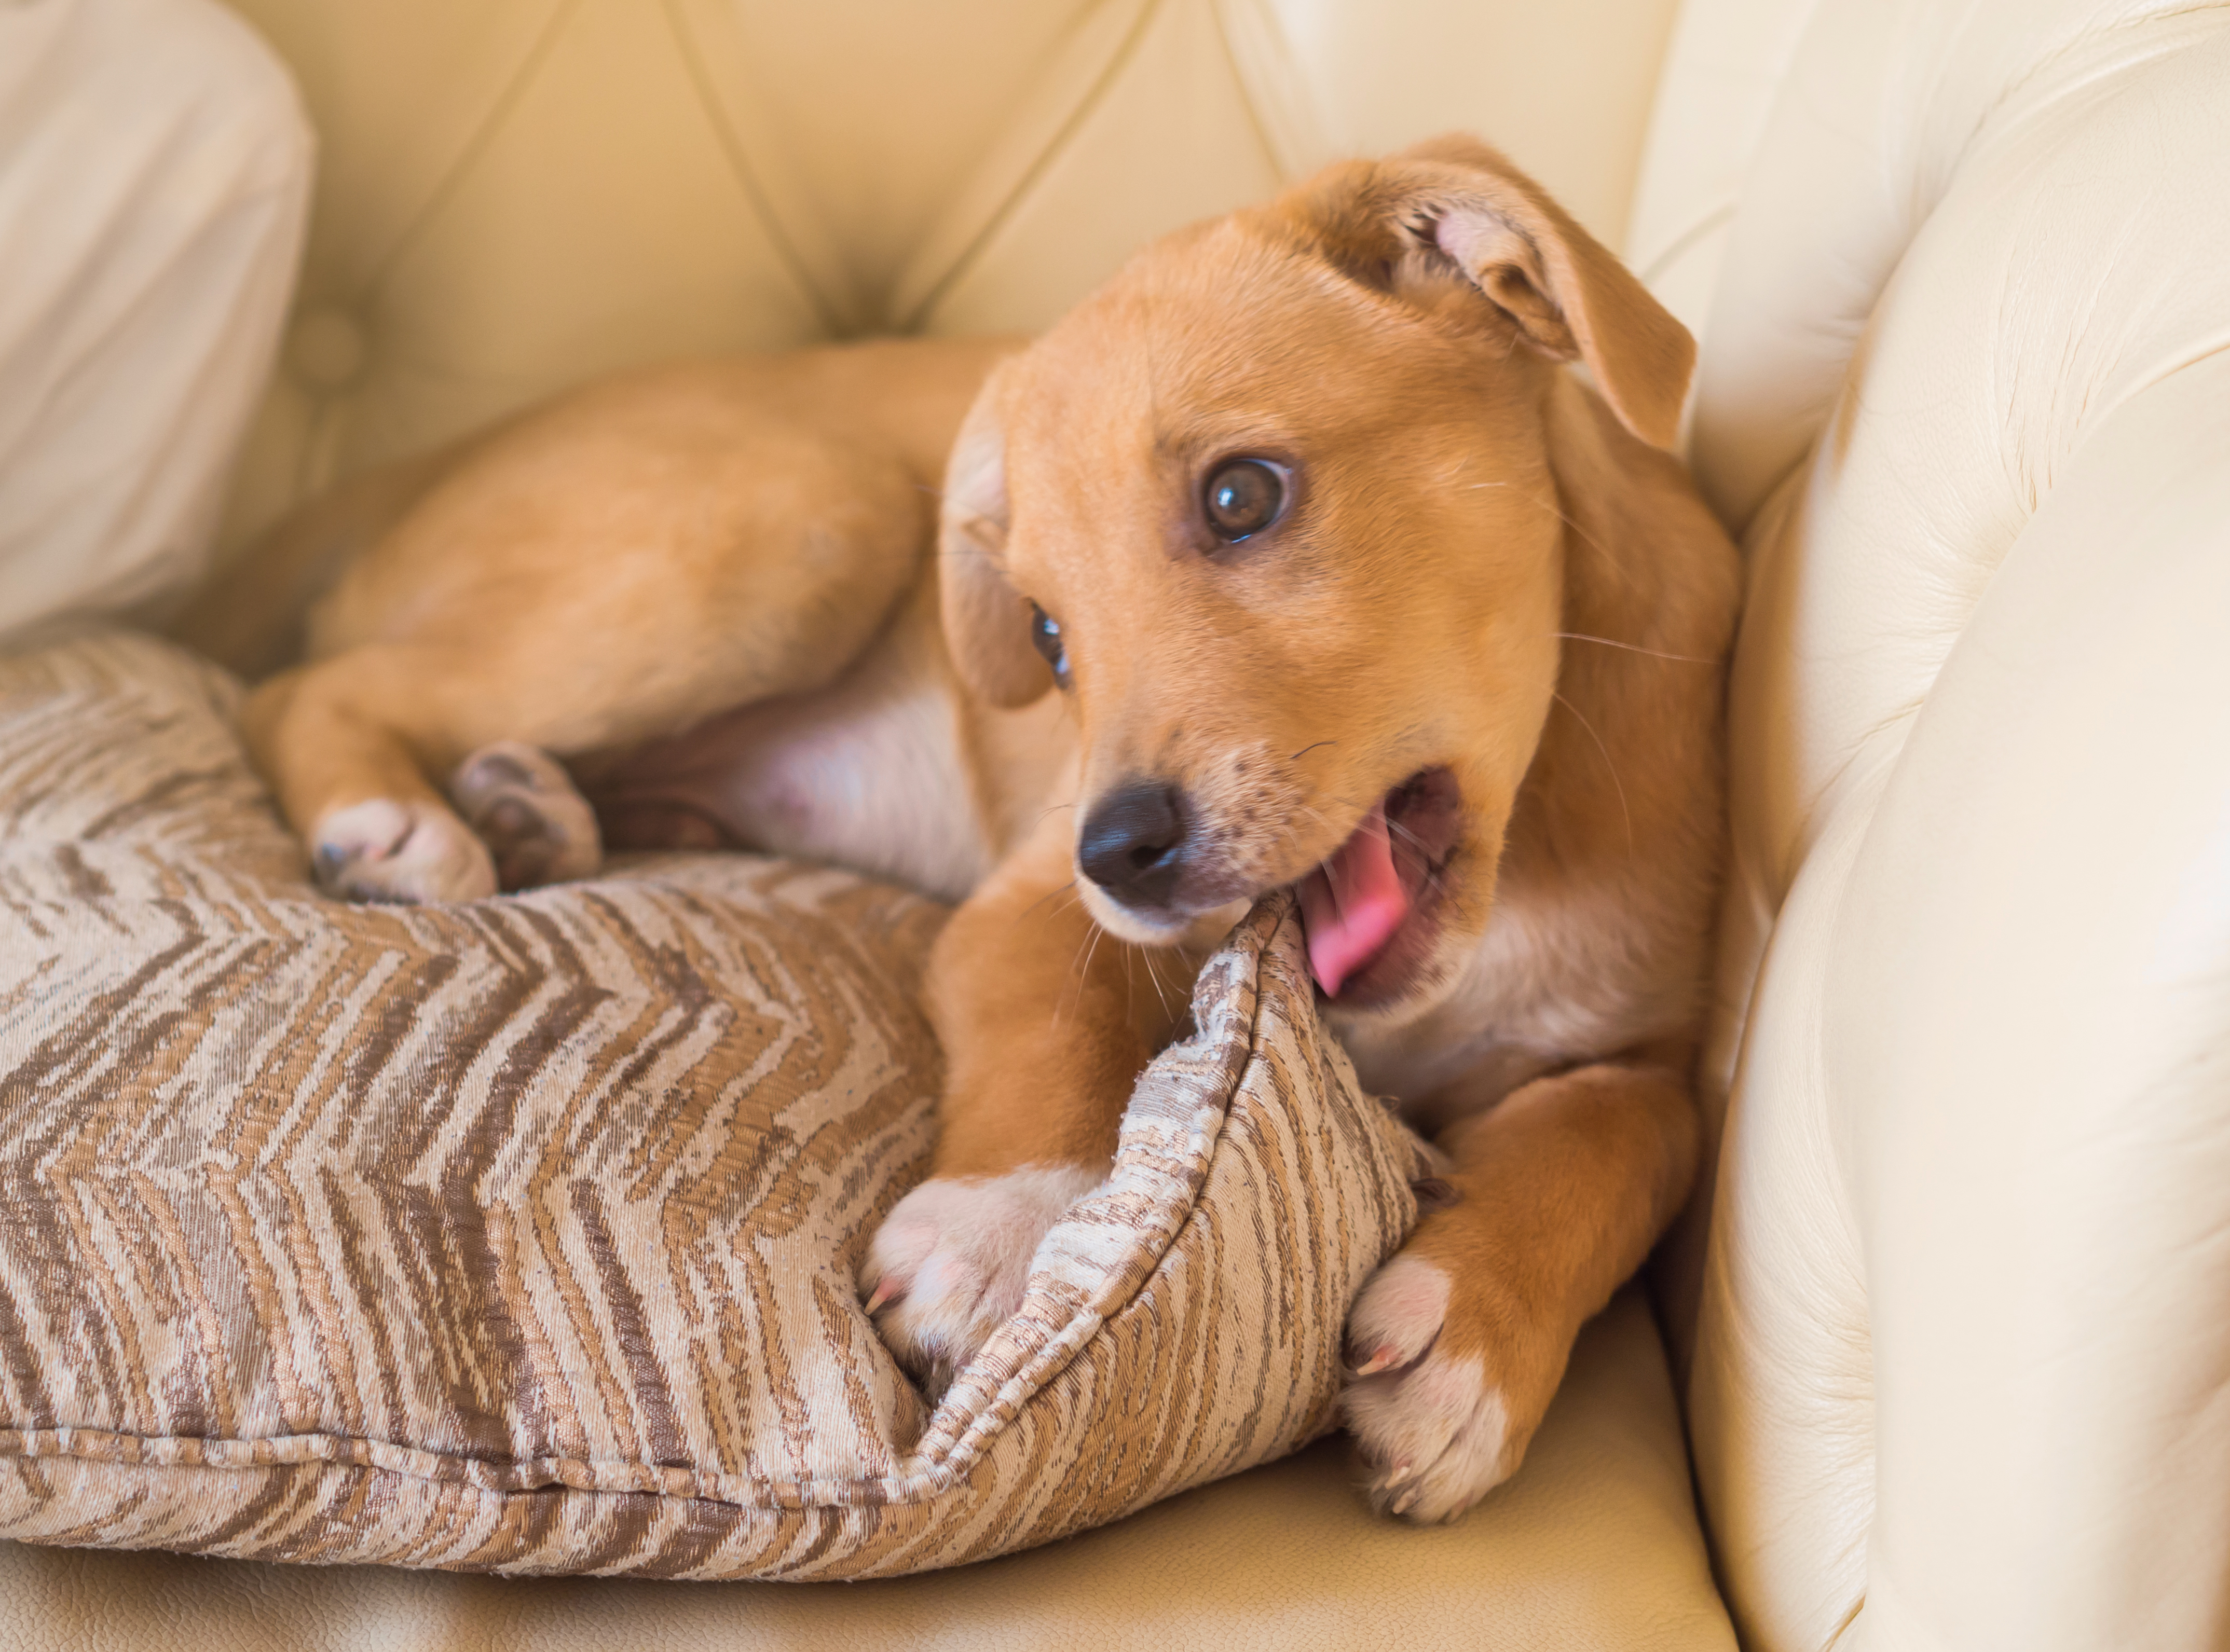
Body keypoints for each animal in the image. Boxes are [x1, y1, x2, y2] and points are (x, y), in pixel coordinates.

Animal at [200, 139, 1739, 1525]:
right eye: (1047, 637)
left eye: (1242, 495)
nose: (1117, 854)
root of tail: (428, 466)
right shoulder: (1023, 903)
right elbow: (1052, 1017)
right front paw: (997, 1231)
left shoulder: (1646, 1056)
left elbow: (1619, 1143)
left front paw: (1470, 1337)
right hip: (803, 520)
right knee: (308, 683)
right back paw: (393, 818)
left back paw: (528, 808)